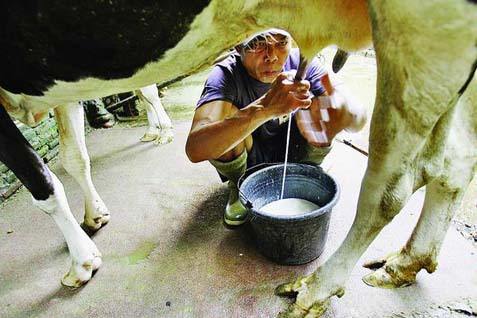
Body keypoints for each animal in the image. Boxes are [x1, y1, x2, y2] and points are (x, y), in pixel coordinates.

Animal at [0, 1, 474, 316]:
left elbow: (44, 182)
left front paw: (81, 262)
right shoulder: (54, 88)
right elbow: (74, 157)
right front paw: (95, 215)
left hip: (419, 31)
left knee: (389, 188)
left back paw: (314, 289)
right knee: (454, 165)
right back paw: (404, 263)